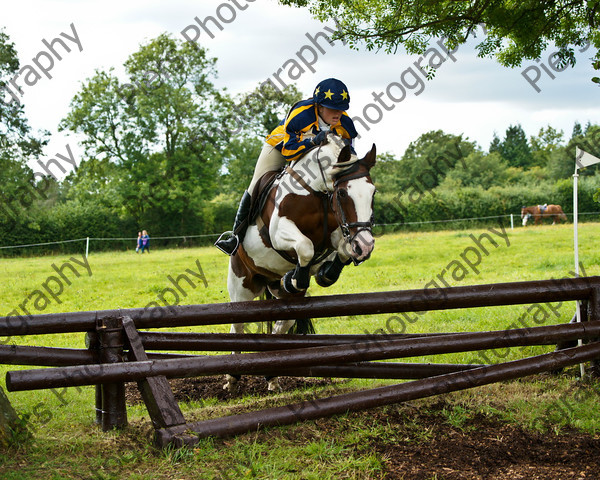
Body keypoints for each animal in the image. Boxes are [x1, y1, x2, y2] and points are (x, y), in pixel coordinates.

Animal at [223, 132, 378, 394]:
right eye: (343, 193)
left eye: (373, 193)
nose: (366, 246)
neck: (316, 192)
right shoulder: (279, 232)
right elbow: (305, 246)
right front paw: (297, 277)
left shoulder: (335, 233)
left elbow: (341, 249)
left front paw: (324, 273)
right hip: (241, 287)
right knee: (237, 328)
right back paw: (232, 378)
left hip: (286, 301)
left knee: (280, 327)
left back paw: (272, 376)